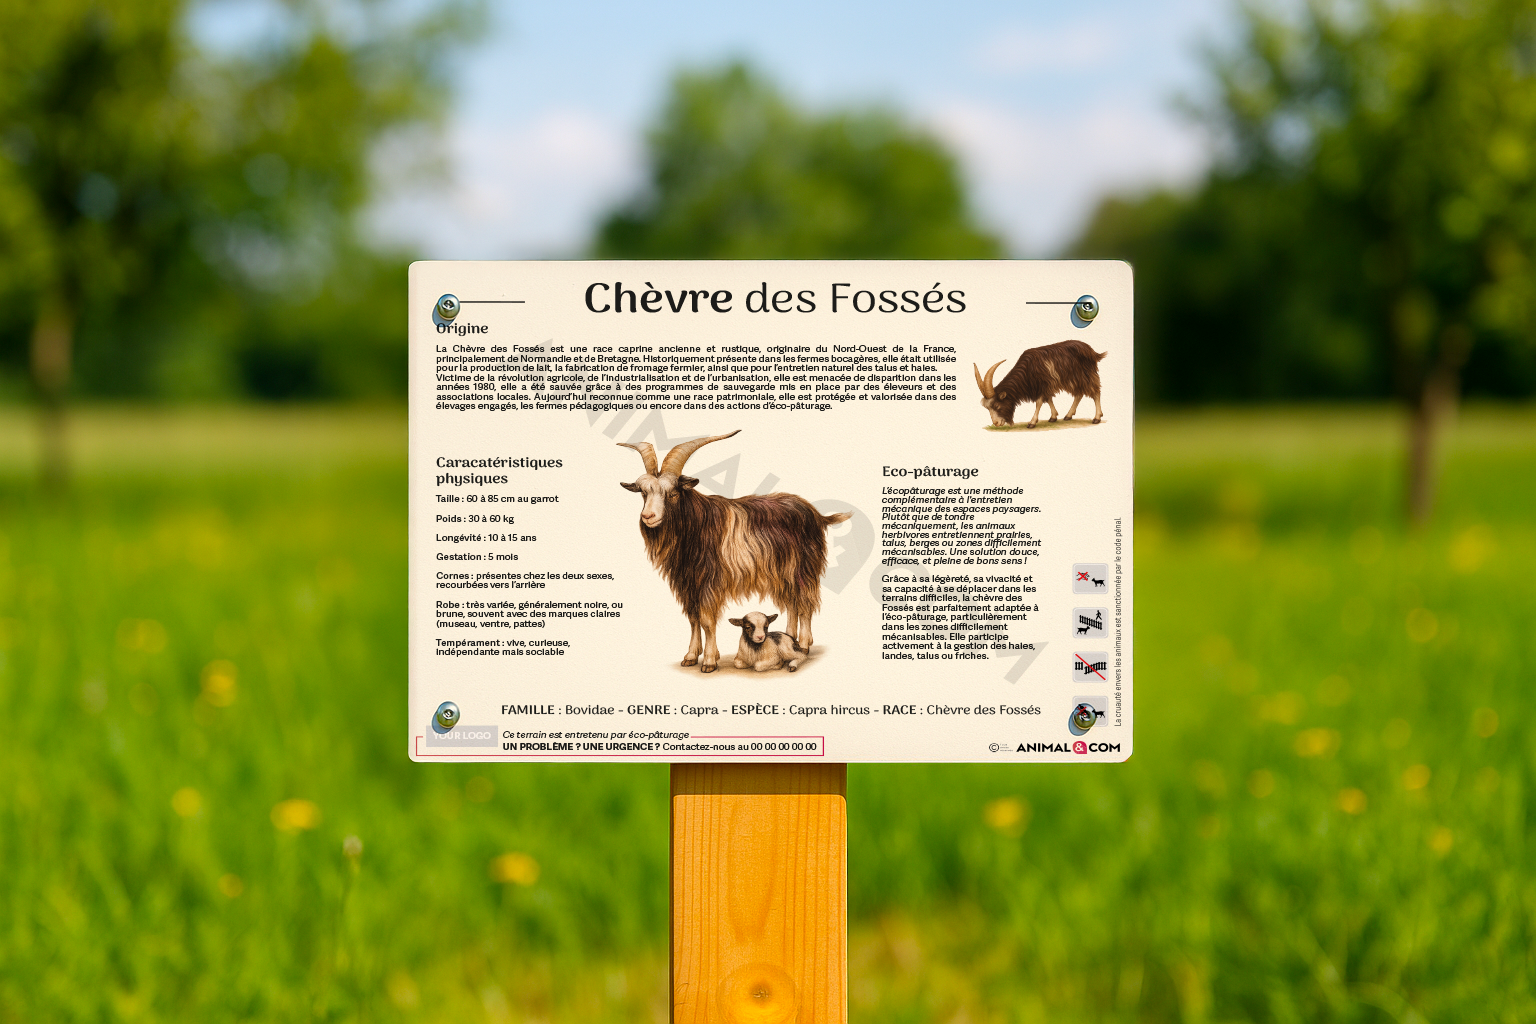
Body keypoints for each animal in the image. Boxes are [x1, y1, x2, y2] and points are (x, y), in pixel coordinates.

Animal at [618, 430, 851, 673]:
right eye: (644, 493)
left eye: (673, 493)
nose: (648, 516)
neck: (696, 525)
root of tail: (817, 514)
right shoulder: (688, 584)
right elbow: (693, 618)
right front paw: (690, 656)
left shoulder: (709, 583)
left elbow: (706, 620)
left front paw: (709, 661)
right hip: (783, 574)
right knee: (792, 604)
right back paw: (790, 638)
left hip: (804, 570)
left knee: (806, 603)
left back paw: (803, 645)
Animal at [975, 340, 1107, 428]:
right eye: (987, 407)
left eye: (997, 406)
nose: (996, 423)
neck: (1028, 369)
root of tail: (1092, 352)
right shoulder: (1045, 387)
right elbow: (1049, 400)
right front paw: (1053, 417)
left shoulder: (1042, 385)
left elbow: (1039, 403)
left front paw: (1032, 422)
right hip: (1074, 380)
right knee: (1079, 394)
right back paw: (1068, 416)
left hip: (1085, 376)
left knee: (1096, 392)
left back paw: (1096, 418)